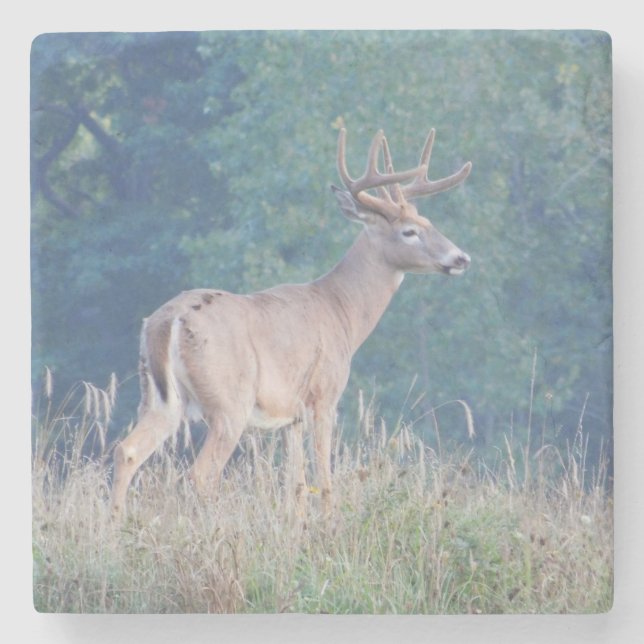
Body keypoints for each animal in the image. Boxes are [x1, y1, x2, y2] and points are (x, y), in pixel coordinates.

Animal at [110, 127, 472, 519]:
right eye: (409, 231)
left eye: (429, 223)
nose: (461, 258)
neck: (341, 311)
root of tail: (168, 320)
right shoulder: (324, 395)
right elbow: (324, 479)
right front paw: (329, 524)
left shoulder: (291, 415)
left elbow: (296, 488)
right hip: (228, 400)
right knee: (201, 474)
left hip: (159, 396)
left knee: (127, 450)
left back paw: (115, 523)